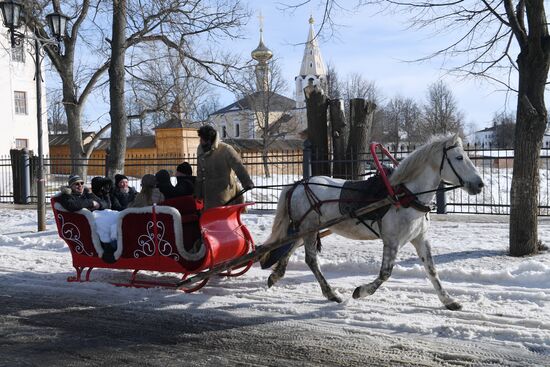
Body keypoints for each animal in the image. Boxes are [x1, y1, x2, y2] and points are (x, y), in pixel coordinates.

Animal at [266, 135, 486, 310]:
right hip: (310, 228)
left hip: (305, 228)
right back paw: (331, 293)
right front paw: (361, 291)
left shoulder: (420, 239)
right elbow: (385, 273)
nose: (480, 184)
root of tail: (297, 184)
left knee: (290, 246)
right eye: (459, 157)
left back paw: (276, 275)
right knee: (311, 260)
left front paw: (448, 300)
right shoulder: (392, 240)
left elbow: (432, 270)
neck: (405, 195)